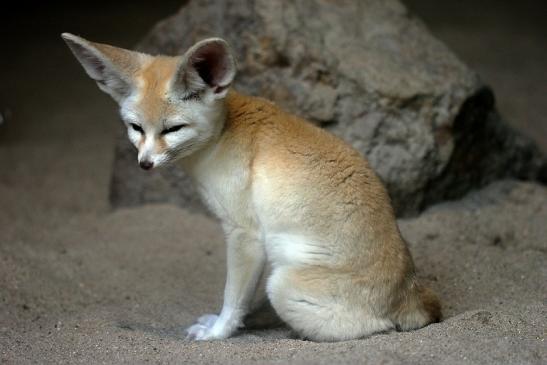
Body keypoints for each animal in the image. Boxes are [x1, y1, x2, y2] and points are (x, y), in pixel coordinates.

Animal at [63, 32, 440, 340]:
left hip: (283, 284)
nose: (145, 163)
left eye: (173, 129)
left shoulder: (245, 234)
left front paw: (219, 332)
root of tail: (411, 294)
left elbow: (233, 297)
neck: (224, 130)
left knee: (377, 327)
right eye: (136, 128)